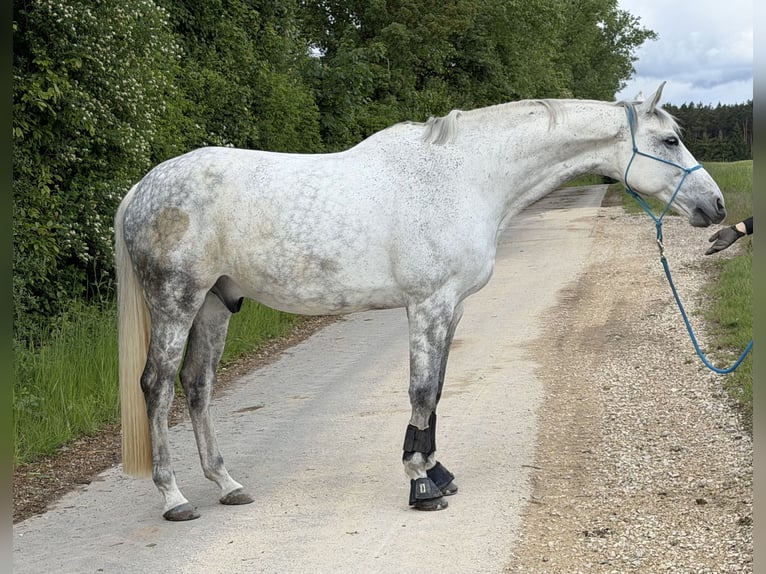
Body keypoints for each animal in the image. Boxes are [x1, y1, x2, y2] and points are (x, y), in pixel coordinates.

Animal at [115, 83, 725, 521]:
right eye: (670, 141)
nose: (716, 206)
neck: (465, 176)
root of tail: (141, 189)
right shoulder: (429, 305)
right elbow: (421, 391)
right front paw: (419, 484)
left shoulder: (452, 307)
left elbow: (437, 393)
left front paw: (438, 472)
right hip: (176, 302)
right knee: (158, 387)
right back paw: (174, 498)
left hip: (216, 304)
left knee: (197, 386)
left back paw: (226, 484)